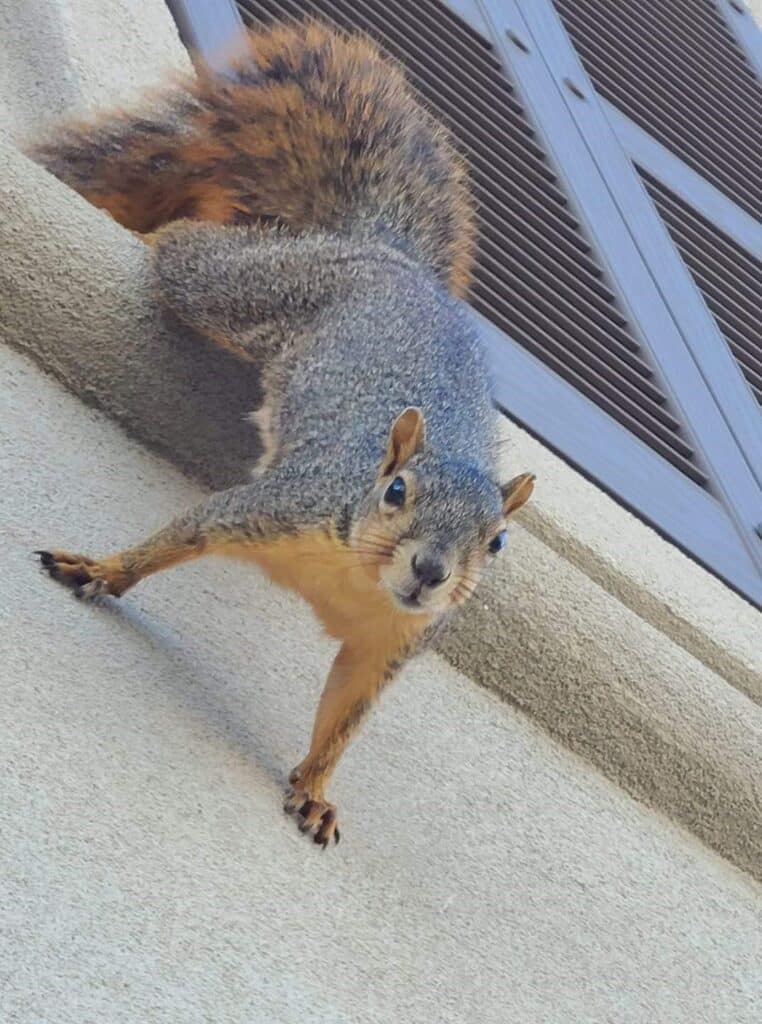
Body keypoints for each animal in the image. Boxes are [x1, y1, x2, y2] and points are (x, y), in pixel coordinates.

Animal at [32, 22, 536, 847]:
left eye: (496, 543)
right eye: (396, 490)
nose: (431, 571)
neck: (355, 574)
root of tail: (385, 255)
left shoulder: (391, 643)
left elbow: (344, 715)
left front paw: (316, 789)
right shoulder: (278, 505)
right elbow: (181, 535)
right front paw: (102, 569)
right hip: (247, 287)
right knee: (191, 250)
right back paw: (168, 233)